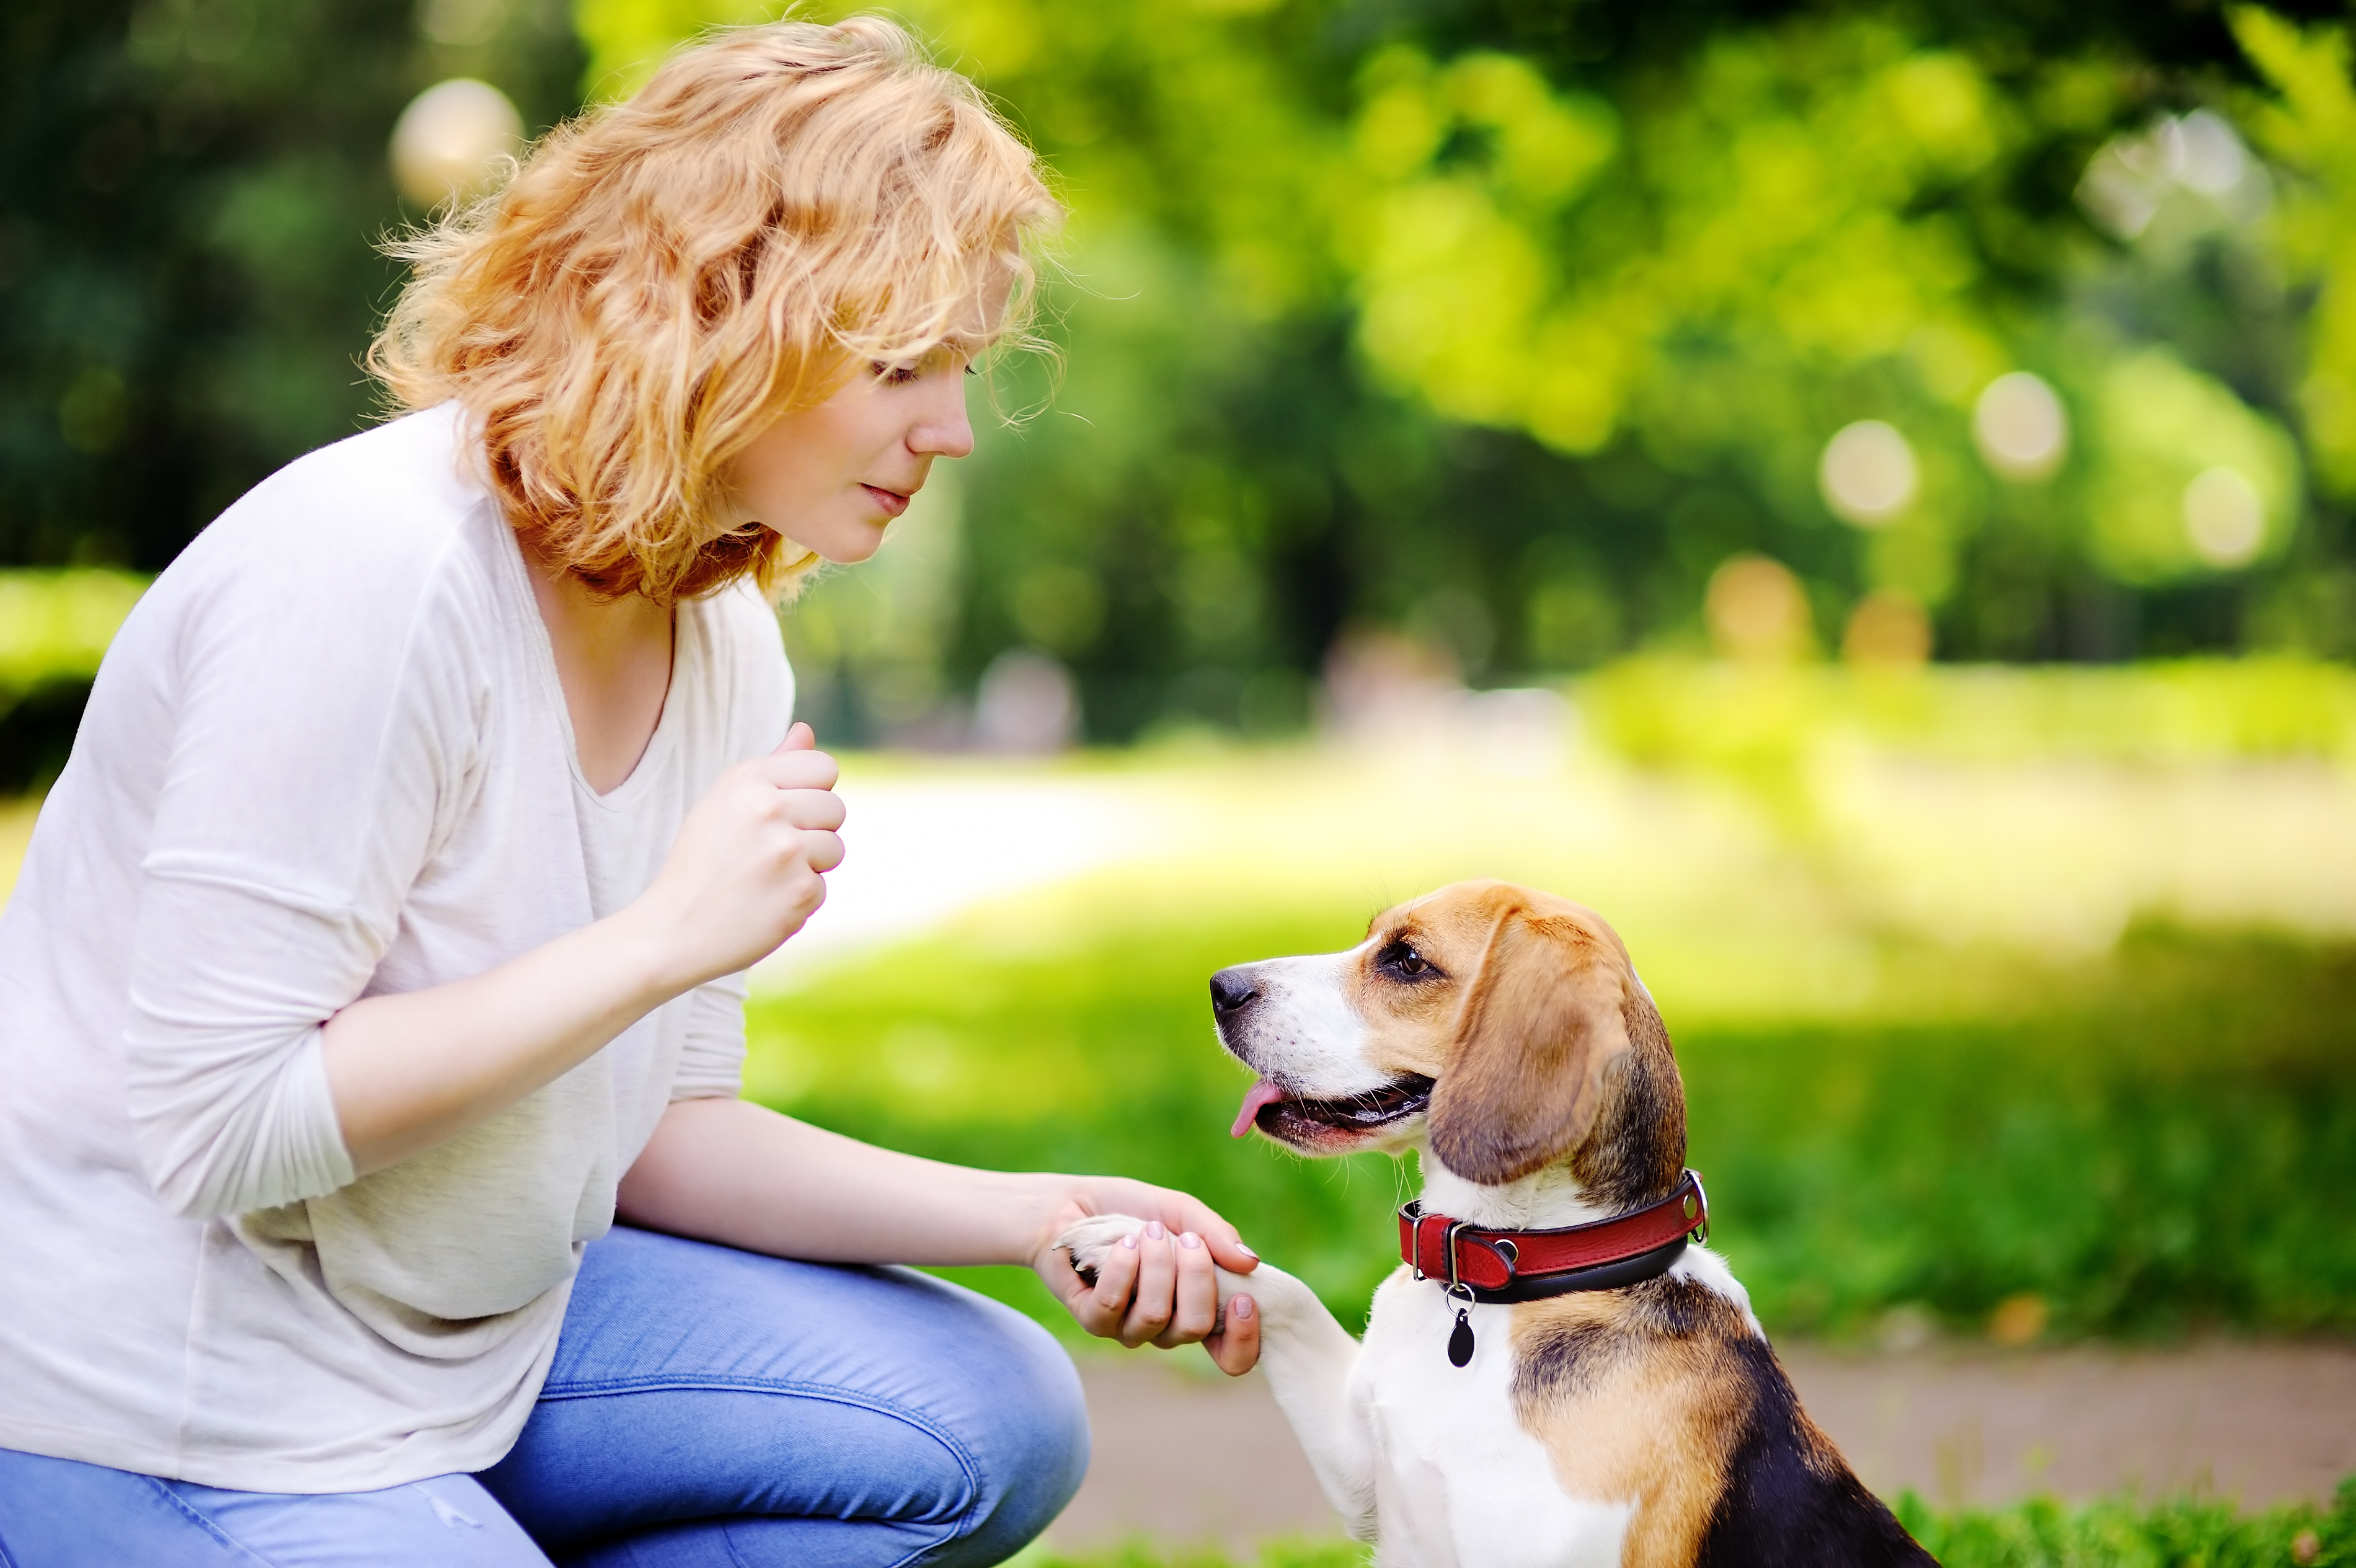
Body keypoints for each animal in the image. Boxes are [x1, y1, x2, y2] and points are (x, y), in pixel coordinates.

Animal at [1070, 880, 1932, 1563]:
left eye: (1406, 961)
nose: (1221, 987)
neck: (1497, 1292)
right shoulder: (1365, 1476)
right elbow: (1282, 1290)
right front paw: (1138, 1240)